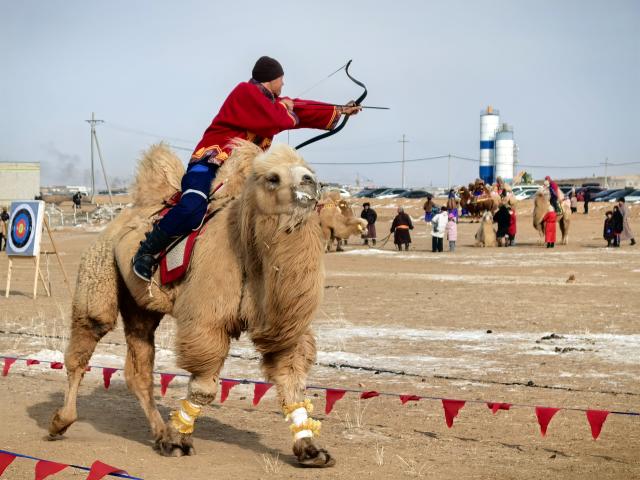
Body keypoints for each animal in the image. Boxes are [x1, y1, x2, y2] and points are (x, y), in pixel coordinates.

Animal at [49, 141, 336, 467]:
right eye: (272, 178)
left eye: (308, 170)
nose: (309, 182)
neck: (250, 252)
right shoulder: (206, 321)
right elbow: (204, 387)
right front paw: (179, 440)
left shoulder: (283, 326)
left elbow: (291, 382)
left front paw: (311, 450)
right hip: (98, 270)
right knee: (86, 339)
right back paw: (60, 422)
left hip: (141, 306)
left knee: (139, 369)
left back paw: (159, 433)